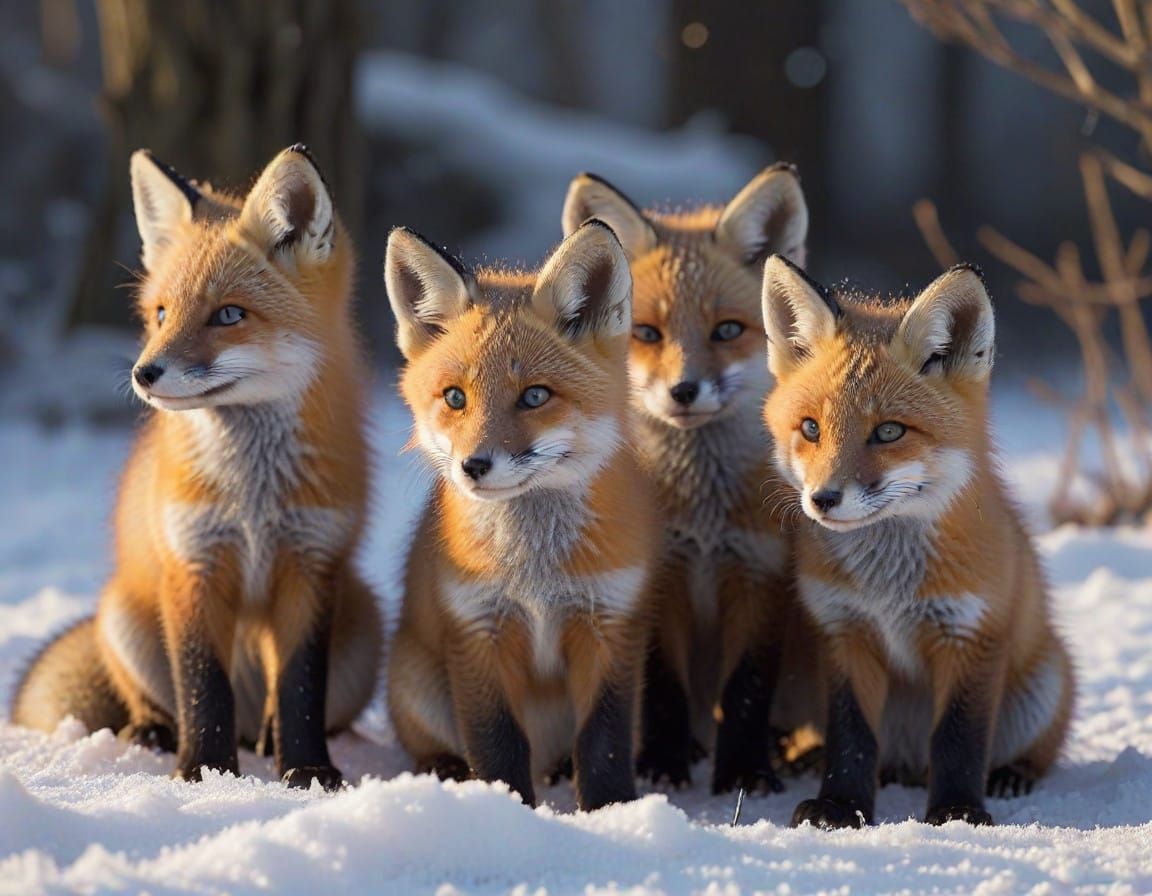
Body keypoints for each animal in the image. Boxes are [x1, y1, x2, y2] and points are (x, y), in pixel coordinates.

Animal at [11, 145, 383, 790]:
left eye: (228, 315)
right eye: (161, 314)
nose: (144, 374)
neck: (253, 499)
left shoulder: (311, 566)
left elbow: (300, 689)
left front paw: (307, 770)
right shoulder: (194, 562)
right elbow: (203, 685)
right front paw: (205, 772)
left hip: (364, 621)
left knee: (294, 711)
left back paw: (270, 738)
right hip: (125, 616)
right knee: (158, 701)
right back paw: (153, 733)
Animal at [384, 219, 657, 811]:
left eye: (534, 396)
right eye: (455, 397)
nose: (473, 465)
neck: (536, 577)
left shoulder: (608, 627)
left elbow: (603, 742)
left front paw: (611, 812)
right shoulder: (478, 628)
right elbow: (496, 742)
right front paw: (506, 809)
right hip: (416, 682)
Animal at [561, 165, 823, 794]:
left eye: (727, 330)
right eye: (648, 333)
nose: (684, 391)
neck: (703, 519)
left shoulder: (759, 575)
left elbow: (747, 690)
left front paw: (744, 770)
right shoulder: (661, 578)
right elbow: (664, 690)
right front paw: (663, 762)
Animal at [759, 256, 1075, 827]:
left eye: (888, 432)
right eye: (811, 429)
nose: (823, 499)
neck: (891, 589)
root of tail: (905, 765)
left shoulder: (970, 635)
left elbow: (958, 738)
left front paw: (957, 812)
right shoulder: (846, 631)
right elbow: (852, 737)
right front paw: (840, 805)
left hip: (1046, 682)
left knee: (1030, 752)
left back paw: (1011, 775)